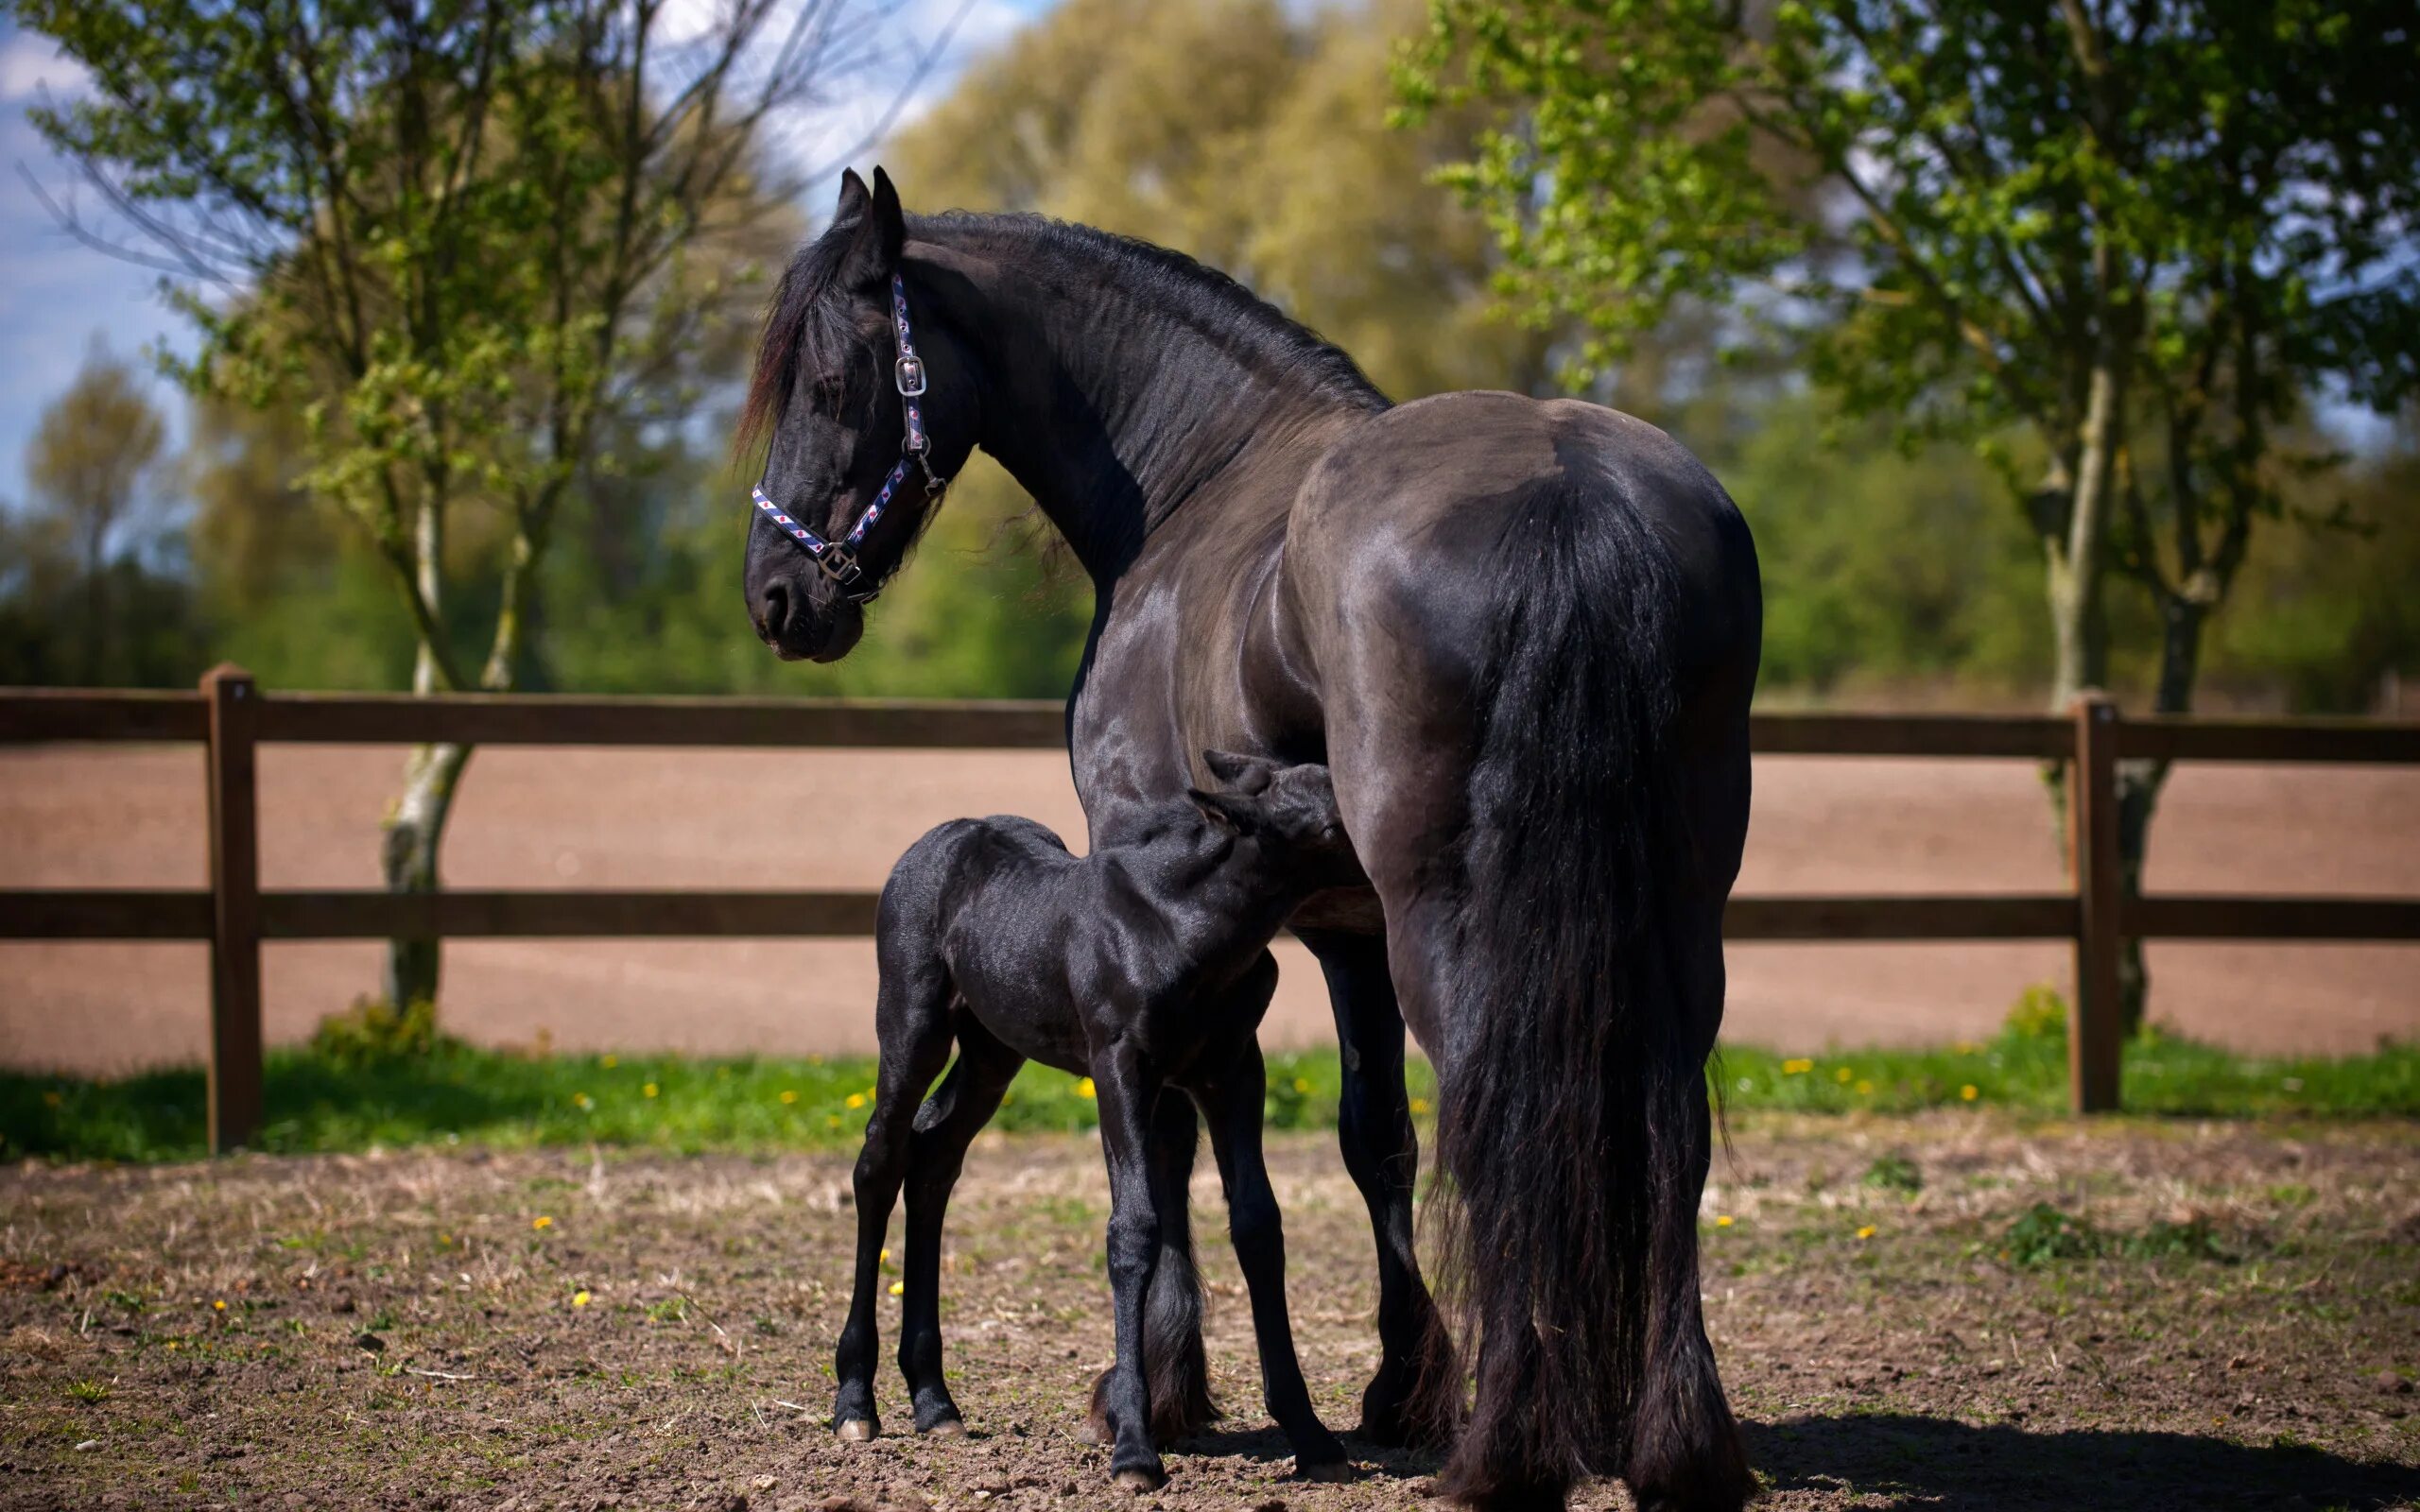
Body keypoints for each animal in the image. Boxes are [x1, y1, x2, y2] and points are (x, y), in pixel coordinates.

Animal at [832, 749, 1364, 1480]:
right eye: (1333, 822)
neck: (1182, 927)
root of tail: (935, 841)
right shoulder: (1121, 1067)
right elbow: (1133, 1230)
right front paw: (1134, 1447)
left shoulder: (1234, 1071)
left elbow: (1258, 1225)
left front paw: (1310, 1435)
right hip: (912, 1025)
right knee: (880, 1163)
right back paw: (856, 1401)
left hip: (992, 1049)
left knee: (934, 1157)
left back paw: (935, 1401)